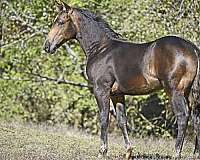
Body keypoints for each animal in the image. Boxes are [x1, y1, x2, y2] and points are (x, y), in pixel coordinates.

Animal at [43, 1, 200, 159]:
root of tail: (192, 49)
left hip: (175, 91)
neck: (101, 48)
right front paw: (128, 151)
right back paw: (196, 152)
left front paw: (102, 151)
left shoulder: (101, 89)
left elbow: (104, 117)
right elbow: (121, 120)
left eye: (60, 22)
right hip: (188, 93)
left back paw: (176, 153)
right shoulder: (117, 94)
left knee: (182, 116)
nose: (47, 46)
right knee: (196, 118)